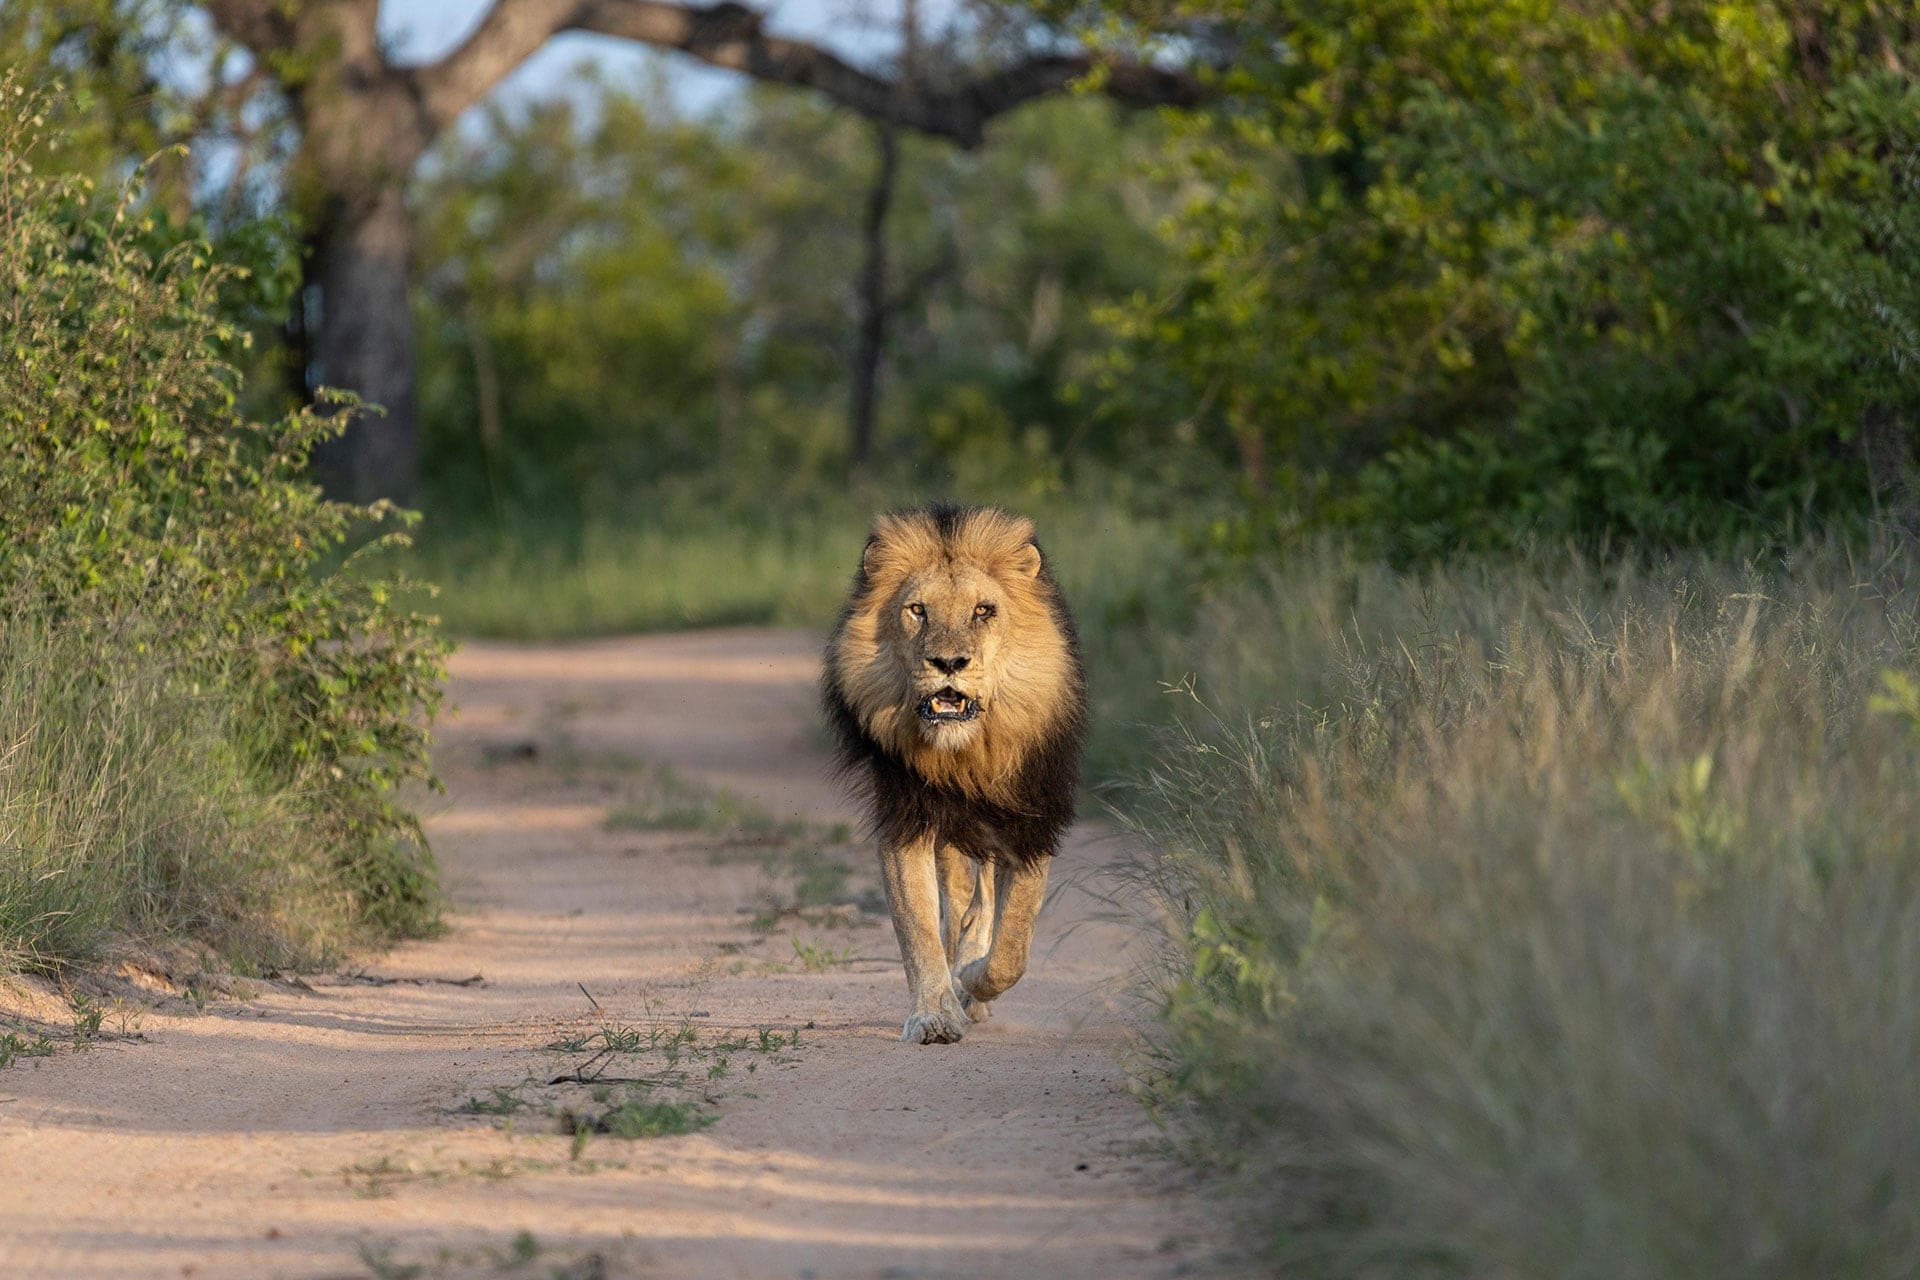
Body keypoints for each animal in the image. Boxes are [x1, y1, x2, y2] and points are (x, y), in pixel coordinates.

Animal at [823, 503, 1086, 1044]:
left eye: (983, 611)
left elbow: (1013, 945)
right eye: (918, 610)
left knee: (982, 906)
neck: (967, 754)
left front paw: (972, 979)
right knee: (959, 902)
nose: (948, 662)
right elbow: (919, 926)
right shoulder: (907, 816)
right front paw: (934, 1015)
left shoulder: (1032, 821)